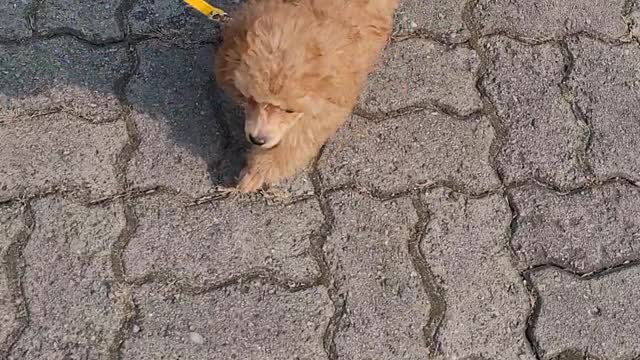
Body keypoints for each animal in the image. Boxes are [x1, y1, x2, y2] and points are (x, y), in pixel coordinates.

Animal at [215, 0, 398, 191]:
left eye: (289, 111)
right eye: (250, 98)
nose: (257, 140)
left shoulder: (331, 100)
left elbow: (300, 137)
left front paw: (259, 170)